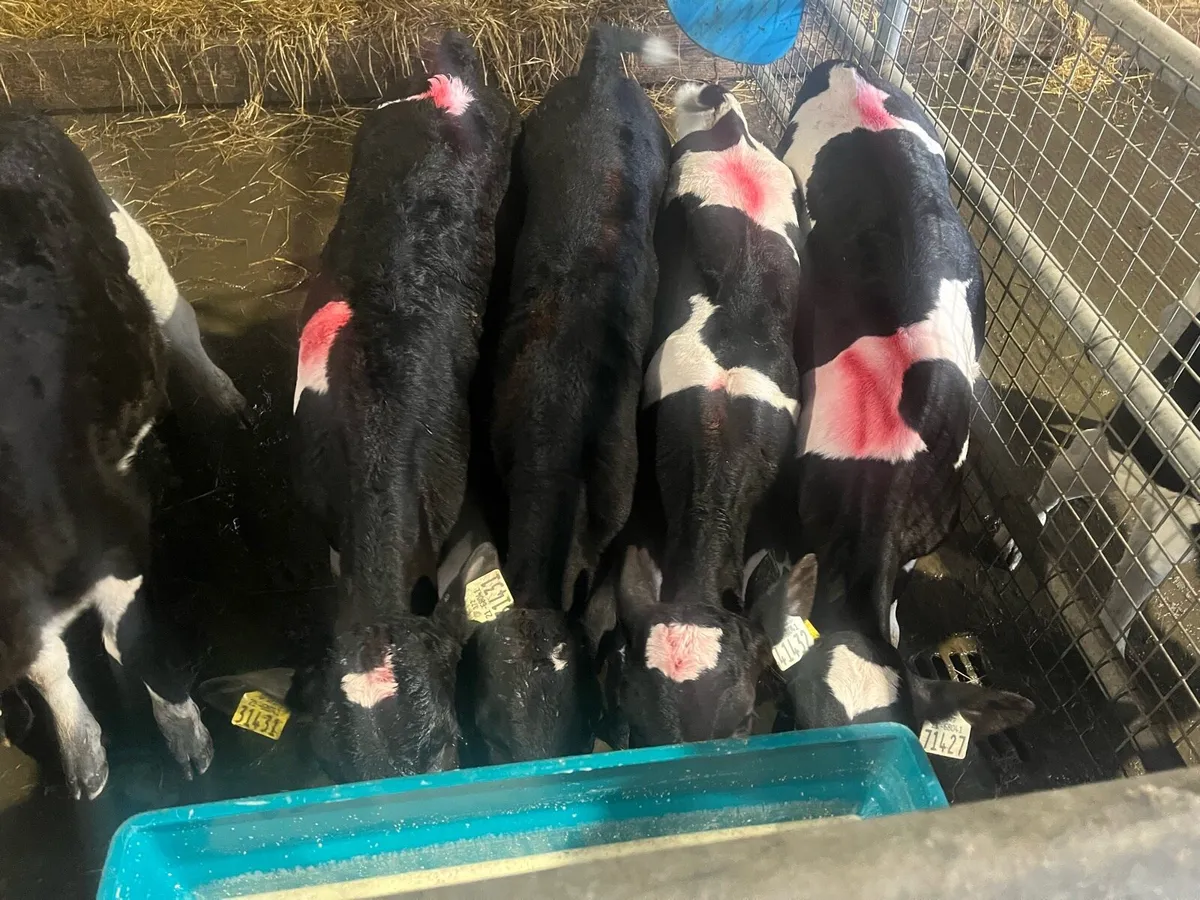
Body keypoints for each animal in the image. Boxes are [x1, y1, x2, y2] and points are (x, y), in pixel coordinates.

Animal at [0, 112, 213, 799]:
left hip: (137, 253)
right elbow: (48, 665)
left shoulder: (118, 540)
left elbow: (130, 640)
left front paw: (186, 738)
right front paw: (83, 755)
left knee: (184, 329)